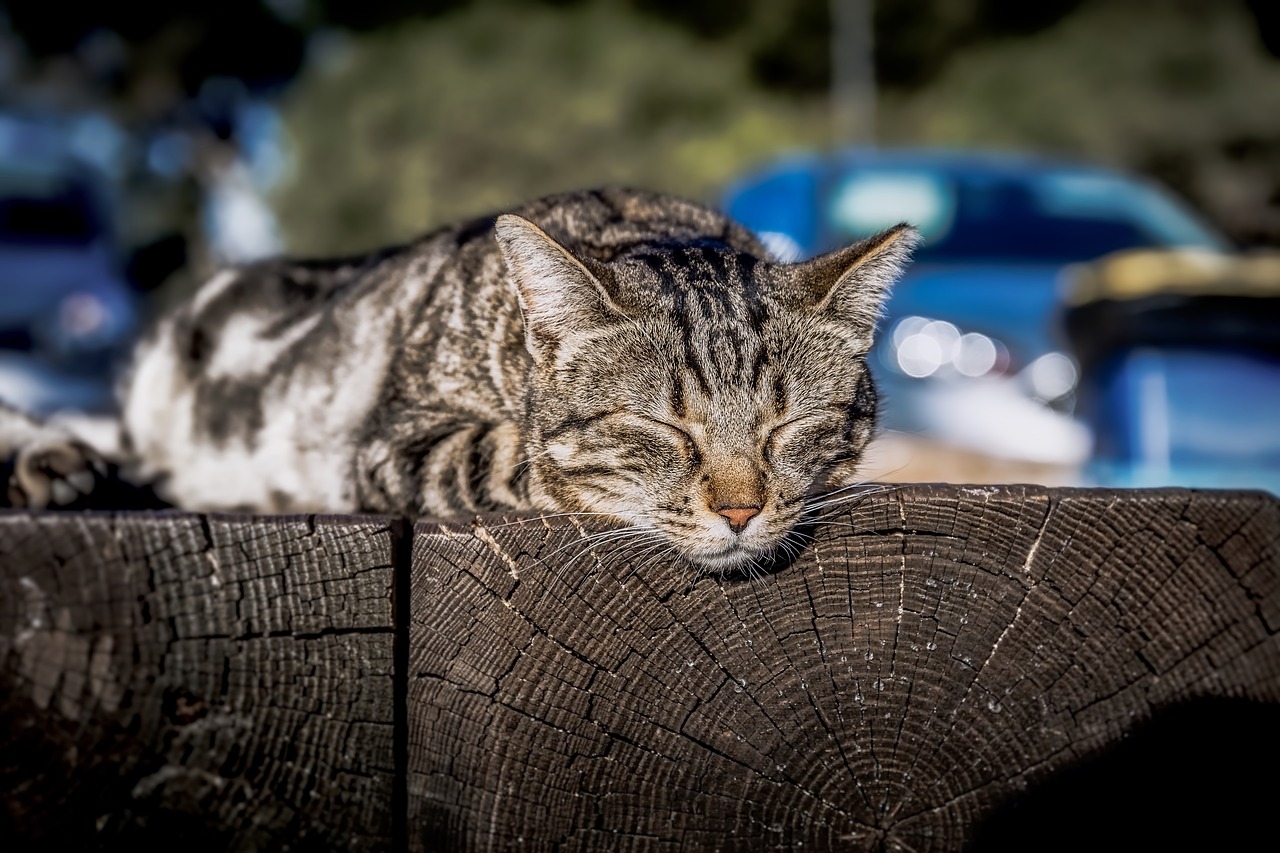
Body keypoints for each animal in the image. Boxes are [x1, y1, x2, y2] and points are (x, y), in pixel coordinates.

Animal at [2, 186, 921, 571]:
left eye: (787, 424)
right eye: (663, 427)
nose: (739, 509)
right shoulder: (393, 445)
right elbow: (515, 455)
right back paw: (51, 459)